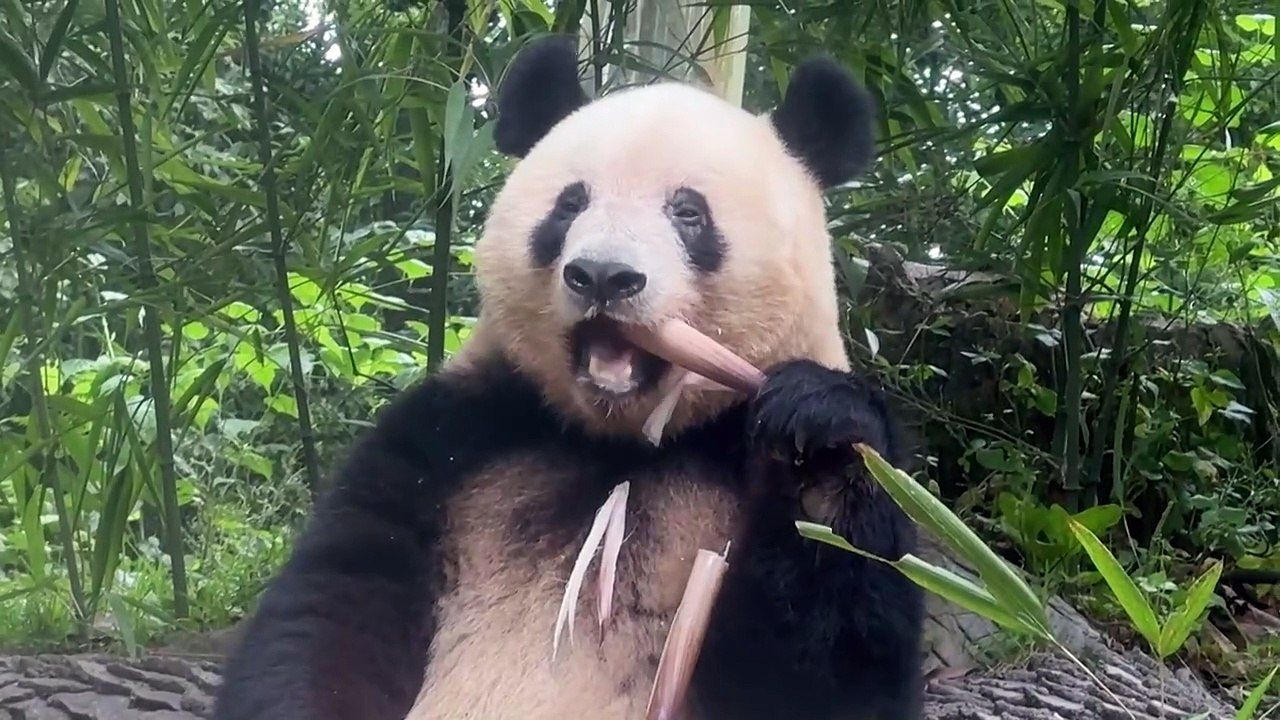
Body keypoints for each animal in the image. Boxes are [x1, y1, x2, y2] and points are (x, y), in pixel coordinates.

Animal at [213, 34, 924, 720]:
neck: (621, 440)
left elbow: (832, 672)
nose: (604, 276)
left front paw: (819, 439)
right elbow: (336, 601)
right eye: (570, 203)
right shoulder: (459, 433)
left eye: (688, 213)